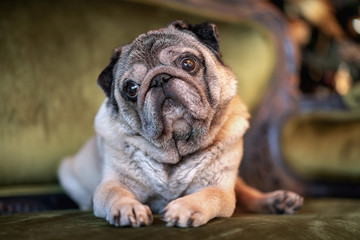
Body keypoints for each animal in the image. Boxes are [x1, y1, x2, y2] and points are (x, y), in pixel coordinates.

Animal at [57, 20, 302, 227]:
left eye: (188, 63)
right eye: (131, 89)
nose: (159, 79)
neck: (175, 149)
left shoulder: (219, 187)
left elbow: (210, 195)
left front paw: (186, 207)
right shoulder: (113, 183)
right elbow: (115, 194)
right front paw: (129, 208)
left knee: (244, 193)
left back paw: (277, 200)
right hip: (67, 172)